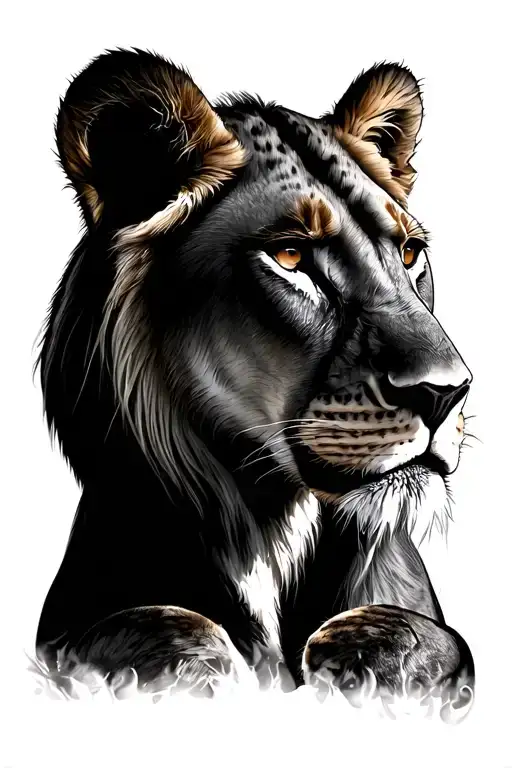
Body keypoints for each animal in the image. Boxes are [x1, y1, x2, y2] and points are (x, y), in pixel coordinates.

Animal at [36, 48, 474, 704]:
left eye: (408, 253)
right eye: (291, 257)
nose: (447, 392)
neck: (271, 530)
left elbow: (426, 638)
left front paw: (356, 658)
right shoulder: (70, 633)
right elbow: (157, 631)